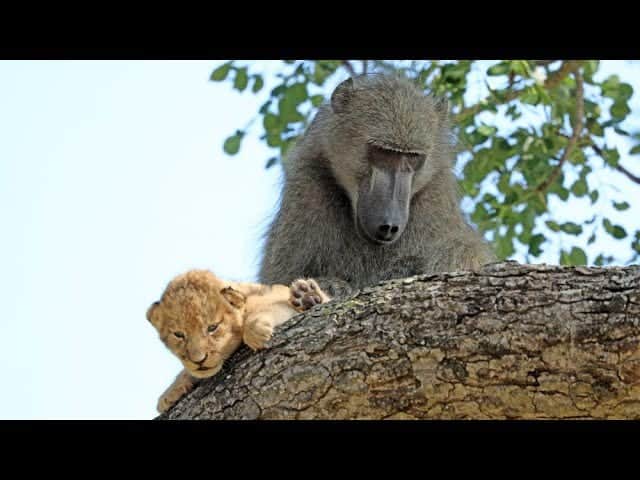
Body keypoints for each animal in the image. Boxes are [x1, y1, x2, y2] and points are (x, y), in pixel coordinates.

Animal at [146, 269, 330, 413]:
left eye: (212, 327)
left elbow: (269, 308)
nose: (199, 361)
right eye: (178, 334)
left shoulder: (272, 297)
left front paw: (256, 332)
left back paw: (307, 296)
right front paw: (169, 393)